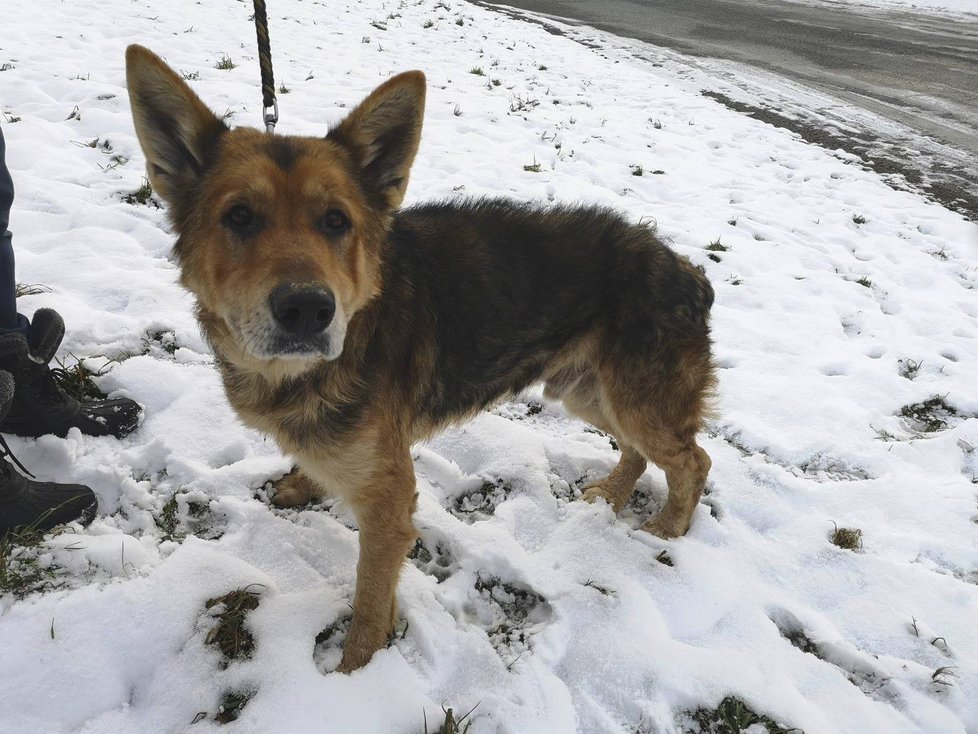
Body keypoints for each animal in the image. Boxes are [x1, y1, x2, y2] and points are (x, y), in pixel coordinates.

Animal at [126, 46, 712, 676]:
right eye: (238, 217)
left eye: (336, 221)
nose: (308, 311)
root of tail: (688, 270)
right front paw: (302, 484)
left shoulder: (390, 499)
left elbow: (369, 597)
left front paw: (356, 672)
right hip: (589, 389)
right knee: (641, 449)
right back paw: (612, 492)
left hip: (634, 396)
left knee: (692, 460)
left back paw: (669, 527)